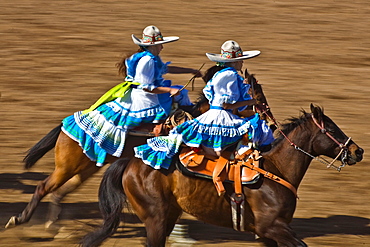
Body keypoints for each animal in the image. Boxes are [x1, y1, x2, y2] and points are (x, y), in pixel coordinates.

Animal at [5, 70, 272, 230]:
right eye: (258, 97)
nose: (271, 121)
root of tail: (66, 125)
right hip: (66, 167)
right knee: (43, 187)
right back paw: (19, 219)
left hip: (85, 168)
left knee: (61, 192)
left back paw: (52, 224)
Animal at [81, 104, 364, 247]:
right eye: (330, 129)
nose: (357, 151)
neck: (276, 170)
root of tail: (130, 162)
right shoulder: (273, 227)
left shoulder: (270, 233)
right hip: (155, 220)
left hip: (168, 215)